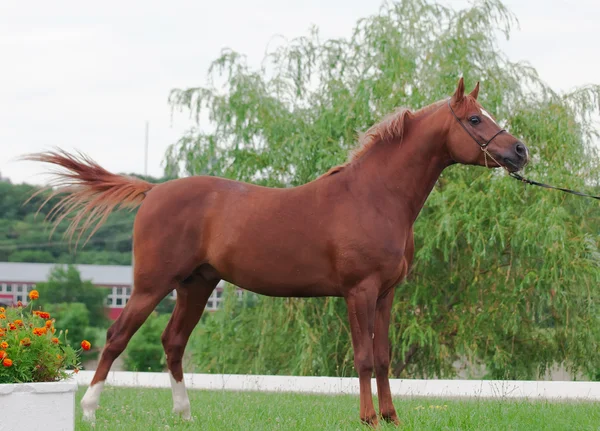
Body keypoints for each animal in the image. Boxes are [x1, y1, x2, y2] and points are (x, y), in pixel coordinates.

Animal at [22, 78, 528, 428]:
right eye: (476, 119)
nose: (520, 151)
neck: (374, 196)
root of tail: (154, 191)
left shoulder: (387, 294)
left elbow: (384, 357)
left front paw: (391, 417)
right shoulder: (358, 292)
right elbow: (363, 356)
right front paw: (367, 418)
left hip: (196, 286)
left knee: (173, 343)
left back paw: (185, 414)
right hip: (151, 285)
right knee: (116, 339)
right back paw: (90, 411)